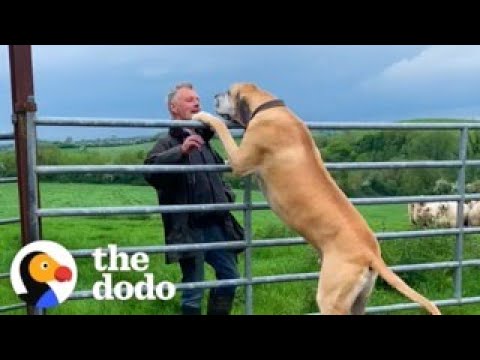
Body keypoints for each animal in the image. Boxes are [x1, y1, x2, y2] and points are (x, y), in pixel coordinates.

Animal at [193, 82, 440, 316]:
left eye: (228, 91)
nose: (214, 95)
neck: (269, 106)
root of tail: (370, 253)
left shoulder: (238, 161)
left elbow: (222, 128)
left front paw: (203, 116)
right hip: (360, 299)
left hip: (331, 297)